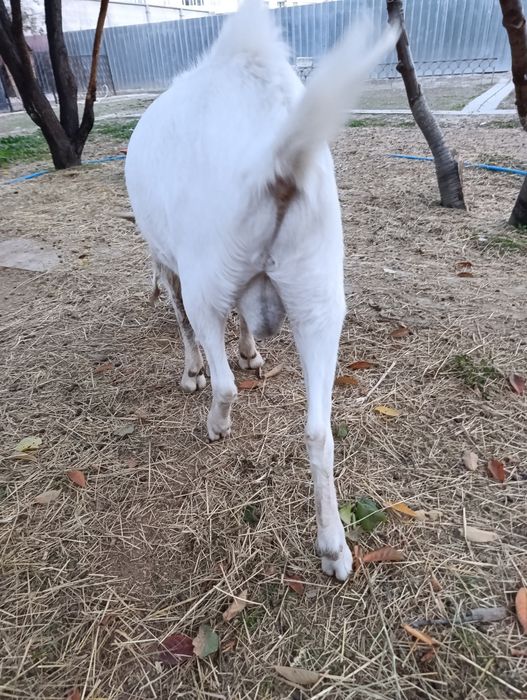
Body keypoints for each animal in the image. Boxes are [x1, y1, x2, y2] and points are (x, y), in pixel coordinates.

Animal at [125, 0, 398, 580]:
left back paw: (215, 424)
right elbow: (245, 319)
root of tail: (277, 161)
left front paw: (192, 373)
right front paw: (252, 352)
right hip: (319, 298)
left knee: (224, 378)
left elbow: (185, 324)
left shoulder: (170, 263)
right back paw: (333, 547)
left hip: (208, 274)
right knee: (319, 431)